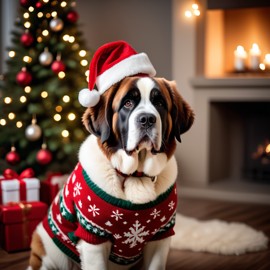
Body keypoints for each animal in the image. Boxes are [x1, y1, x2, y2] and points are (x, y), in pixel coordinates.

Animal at [29, 76, 194, 270]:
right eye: (128, 103)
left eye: (159, 103)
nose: (147, 119)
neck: (136, 176)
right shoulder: (93, 237)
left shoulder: (161, 235)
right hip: (48, 252)